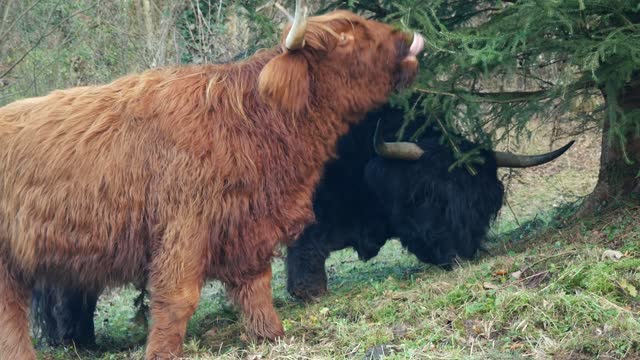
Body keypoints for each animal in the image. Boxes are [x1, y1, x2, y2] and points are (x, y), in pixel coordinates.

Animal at [0, 1, 424, 358]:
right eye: (346, 36)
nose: (408, 39)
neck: (249, 121)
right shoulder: (185, 225)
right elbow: (179, 296)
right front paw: (161, 353)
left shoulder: (248, 224)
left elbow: (256, 286)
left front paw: (272, 335)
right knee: (12, 315)